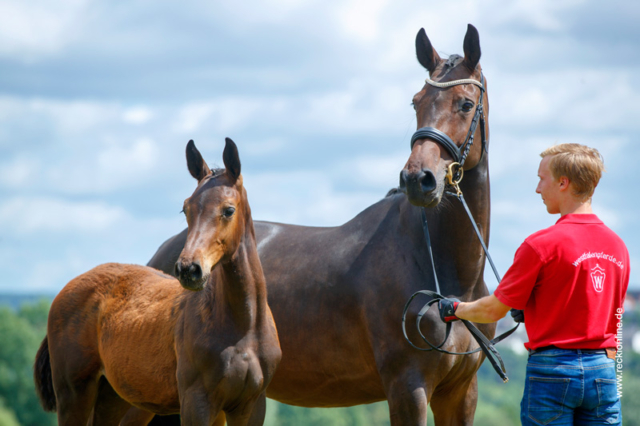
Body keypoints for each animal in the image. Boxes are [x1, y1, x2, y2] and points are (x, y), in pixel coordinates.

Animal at [33, 138, 282, 424]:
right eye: (186, 208)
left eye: (229, 210)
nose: (188, 269)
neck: (243, 327)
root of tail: (67, 288)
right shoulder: (196, 401)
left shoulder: (251, 404)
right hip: (74, 393)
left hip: (113, 396)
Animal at [148, 24, 492, 426]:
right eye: (416, 102)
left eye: (465, 103)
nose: (417, 179)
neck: (441, 266)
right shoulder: (409, 387)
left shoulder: (461, 393)